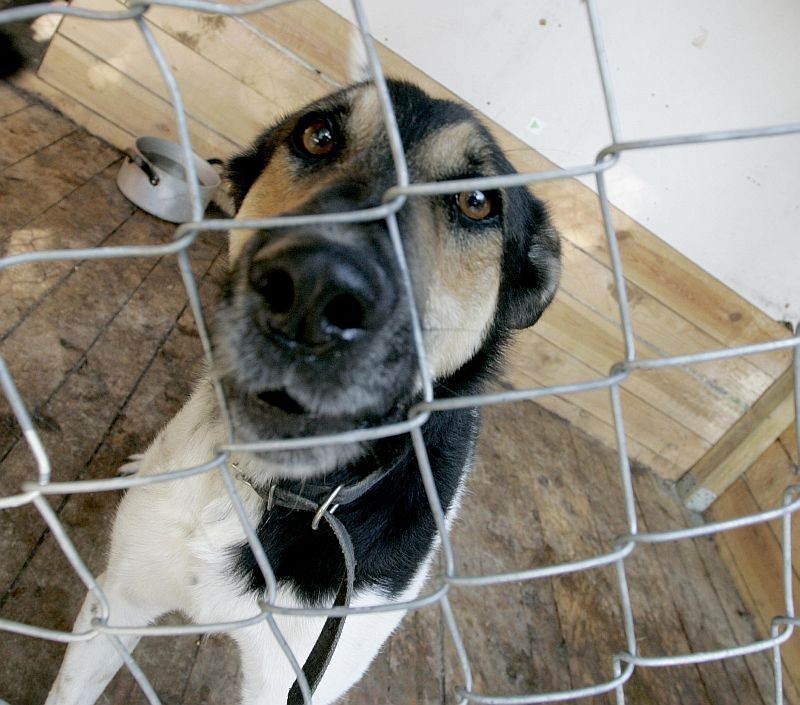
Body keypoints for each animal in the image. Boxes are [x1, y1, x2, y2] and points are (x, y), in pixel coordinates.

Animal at [42, 80, 556, 700]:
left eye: (477, 202)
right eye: (318, 136)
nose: (314, 289)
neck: (277, 484)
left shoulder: (300, 674)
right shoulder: (117, 602)